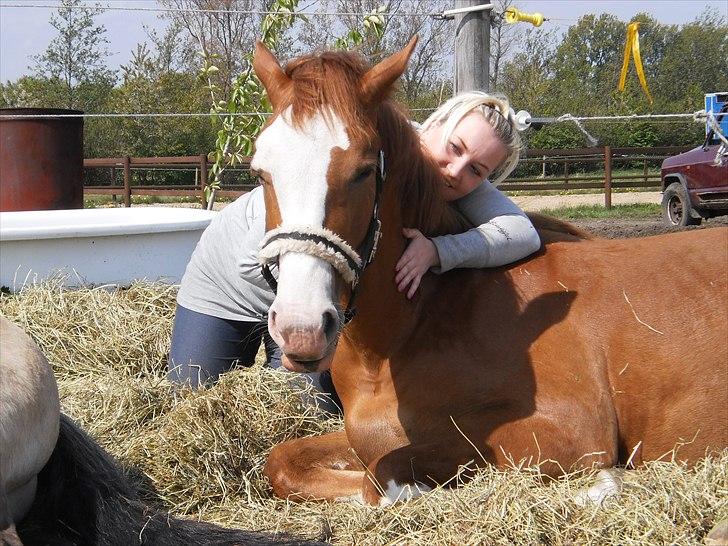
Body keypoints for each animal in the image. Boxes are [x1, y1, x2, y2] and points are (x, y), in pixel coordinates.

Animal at [253, 38, 728, 504]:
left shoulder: (571, 431)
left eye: (364, 170)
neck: (415, 325)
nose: (301, 328)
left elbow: (379, 478)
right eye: (260, 172)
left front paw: (605, 486)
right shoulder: (363, 437)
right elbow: (283, 462)